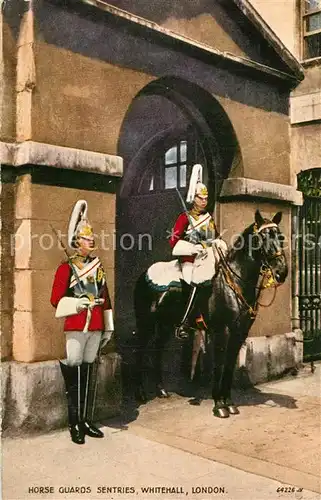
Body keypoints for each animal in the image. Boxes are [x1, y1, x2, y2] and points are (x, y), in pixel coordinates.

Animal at [132, 209, 288, 416]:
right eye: (263, 237)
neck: (236, 282)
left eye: (280, 236)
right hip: (146, 322)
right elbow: (219, 366)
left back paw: (161, 390)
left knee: (158, 348)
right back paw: (140, 393)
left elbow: (229, 366)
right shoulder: (222, 331)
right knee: (139, 349)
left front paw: (228, 402)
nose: (282, 272)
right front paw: (219, 405)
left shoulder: (239, 333)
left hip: (165, 324)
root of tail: (145, 274)